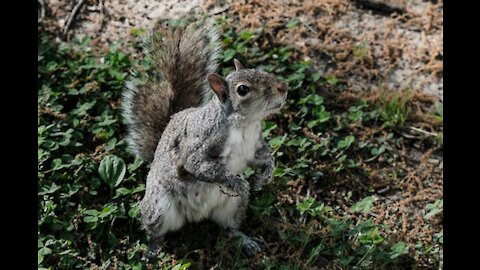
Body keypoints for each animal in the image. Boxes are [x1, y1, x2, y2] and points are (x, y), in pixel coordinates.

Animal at [122, 19, 288, 260]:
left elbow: (265, 159)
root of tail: (195, 216)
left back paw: (244, 241)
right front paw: (236, 182)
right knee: (155, 231)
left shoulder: (254, 146)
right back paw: (152, 250)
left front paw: (263, 177)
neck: (245, 126)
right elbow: (199, 166)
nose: (283, 88)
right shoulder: (201, 144)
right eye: (243, 89)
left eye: (259, 70)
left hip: (234, 206)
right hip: (159, 207)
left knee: (230, 227)